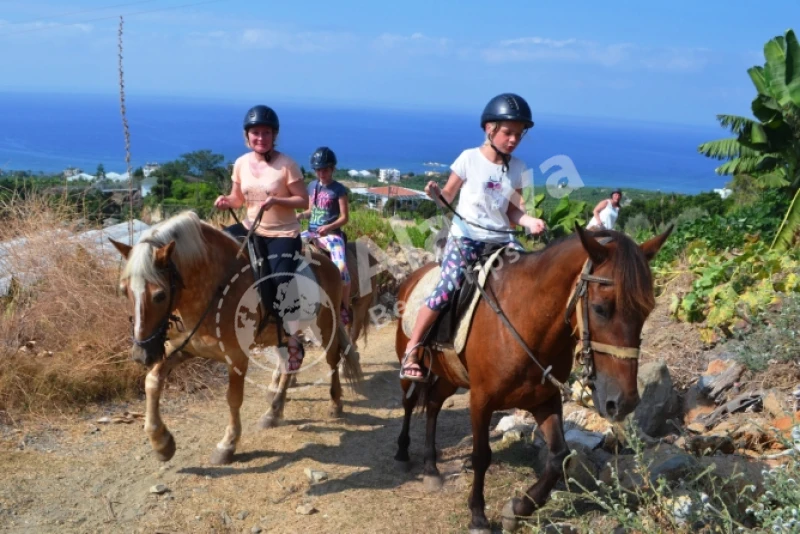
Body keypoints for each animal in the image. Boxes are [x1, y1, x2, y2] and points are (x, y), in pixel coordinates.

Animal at [111, 211, 360, 466]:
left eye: (160, 295)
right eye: (124, 291)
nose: (141, 354)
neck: (213, 287)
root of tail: (329, 264)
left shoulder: (236, 356)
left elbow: (233, 398)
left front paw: (227, 445)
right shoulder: (182, 349)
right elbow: (151, 382)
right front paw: (161, 443)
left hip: (325, 326)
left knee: (332, 358)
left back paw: (335, 403)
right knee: (293, 360)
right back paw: (273, 411)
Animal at [396, 225, 672, 532]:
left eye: (647, 310)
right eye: (601, 308)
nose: (624, 402)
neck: (524, 320)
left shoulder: (544, 399)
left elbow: (560, 457)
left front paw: (519, 509)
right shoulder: (480, 399)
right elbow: (481, 456)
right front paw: (478, 515)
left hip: (449, 375)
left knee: (433, 404)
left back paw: (431, 467)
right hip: (412, 365)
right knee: (409, 403)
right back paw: (404, 453)